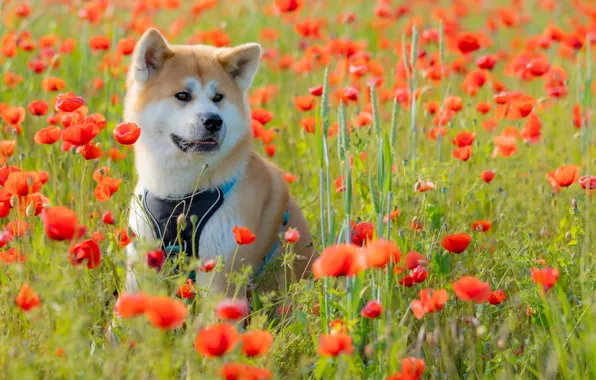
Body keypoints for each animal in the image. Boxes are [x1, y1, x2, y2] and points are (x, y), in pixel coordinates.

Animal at [123, 28, 314, 296]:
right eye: (183, 95)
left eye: (218, 97)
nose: (213, 121)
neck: (179, 194)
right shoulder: (141, 268)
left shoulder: (220, 273)